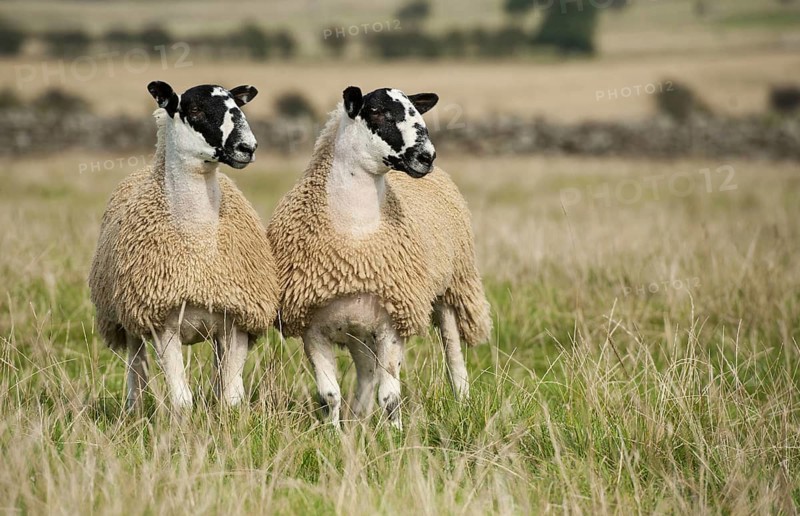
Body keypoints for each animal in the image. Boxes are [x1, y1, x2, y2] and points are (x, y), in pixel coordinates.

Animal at [89, 81, 280, 410]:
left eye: (237, 106)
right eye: (194, 109)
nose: (247, 147)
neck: (199, 244)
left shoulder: (238, 321)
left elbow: (231, 396)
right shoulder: (162, 323)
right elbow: (181, 399)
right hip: (128, 319)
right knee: (136, 366)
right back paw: (134, 409)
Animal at [266, 86, 491, 429]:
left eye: (417, 111)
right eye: (376, 112)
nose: (426, 157)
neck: (356, 236)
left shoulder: (393, 322)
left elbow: (390, 396)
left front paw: (395, 434)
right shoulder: (312, 327)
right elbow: (330, 395)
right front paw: (333, 434)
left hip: (452, 287)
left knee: (453, 354)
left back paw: (463, 404)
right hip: (358, 327)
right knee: (365, 372)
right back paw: (358, 418)